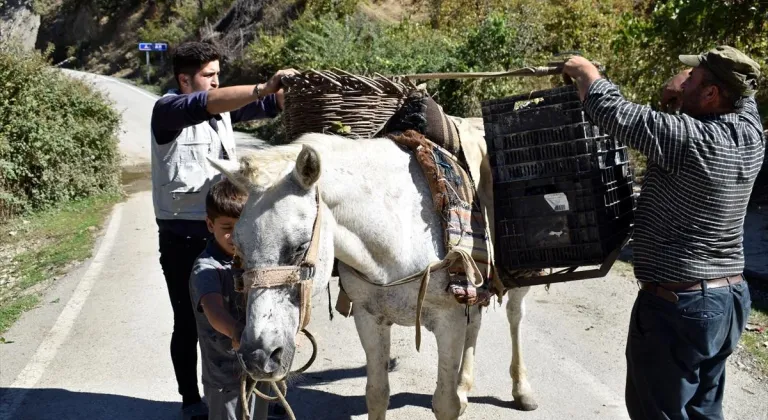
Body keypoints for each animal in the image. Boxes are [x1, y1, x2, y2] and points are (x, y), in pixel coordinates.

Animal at [208, 124, 536, 416]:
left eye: (300, 247)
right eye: (238, 249)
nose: (258, 356)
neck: (400, 231)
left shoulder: (449, 321)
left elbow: (445, 404)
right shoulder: (370, 318)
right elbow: (377, 395)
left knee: (515, 316)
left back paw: (522, 391)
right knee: (477, 321)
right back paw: (465, 386)